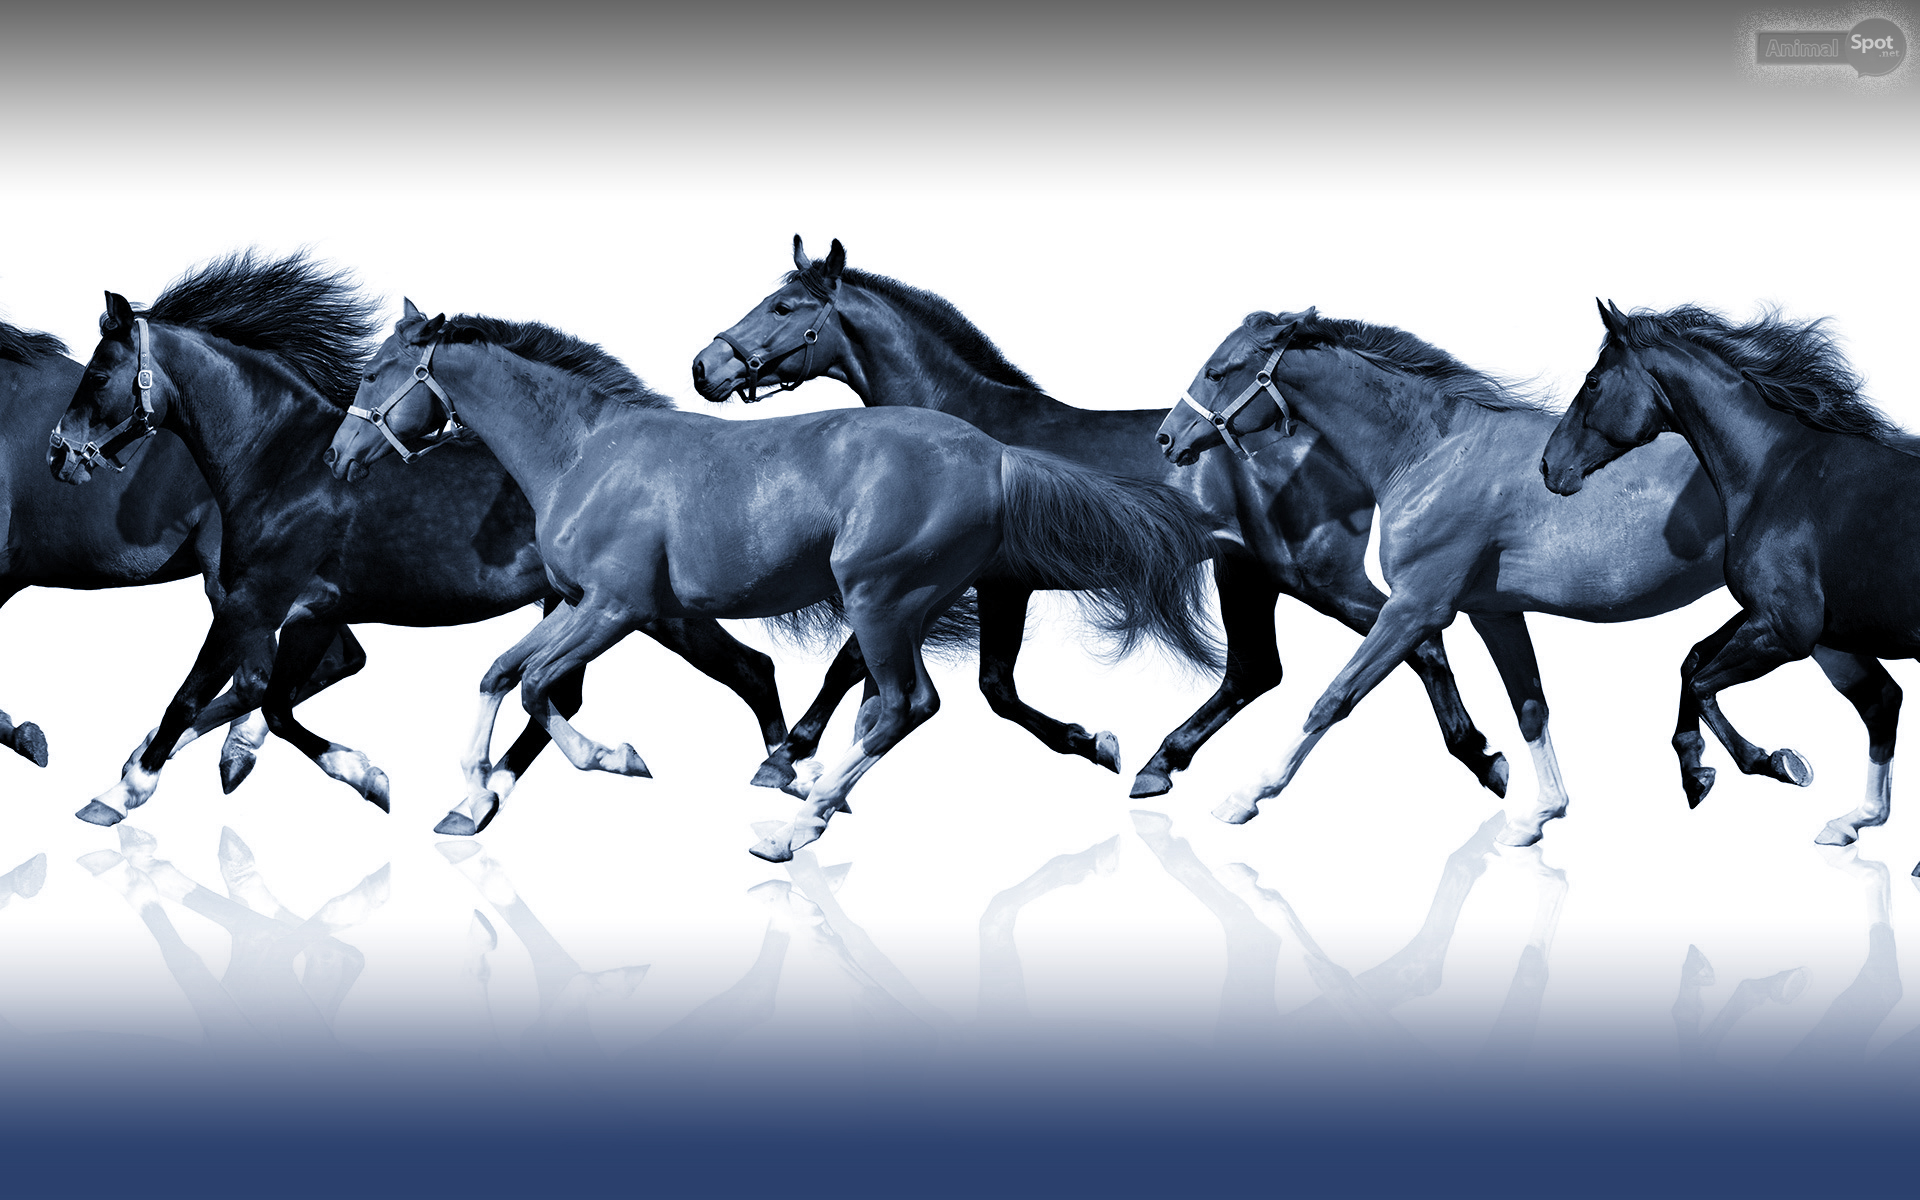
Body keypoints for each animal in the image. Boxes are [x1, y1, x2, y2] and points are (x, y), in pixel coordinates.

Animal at [49, 252, 789, 830]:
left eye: (97, 375)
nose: (58, 456)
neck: (281, 461)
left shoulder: (254, 603)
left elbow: (197, 695)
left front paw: (120, 791)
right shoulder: (310, 614)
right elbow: (271, 701)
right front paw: (364, 776)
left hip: (650, 611)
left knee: (750, 670)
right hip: (578, 606)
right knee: (569, 692)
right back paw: (477, 803)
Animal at [325, 302, 1219, 861]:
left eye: (375, 374)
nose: (338, 456)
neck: (585, 452)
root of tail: (994, 453)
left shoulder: (618, 608)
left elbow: (543, 689)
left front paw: (618, 758)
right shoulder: (580, 605)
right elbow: (498, 673)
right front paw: (470, 800)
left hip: (880, 598)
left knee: (908, 704)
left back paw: (793, 829)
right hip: (910, 603)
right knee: (895, 705)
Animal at [692, 236, 1508, 804]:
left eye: (785, 309)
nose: (706, 367)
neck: (964, 427)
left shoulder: (964, 585)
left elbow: (909, 674)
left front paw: (787, 756)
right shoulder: (979, 587)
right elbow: (962, 683)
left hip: (1312, 574)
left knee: (1416, 640)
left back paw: (1485, 759)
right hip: (1248, 572)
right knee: (1257, 669)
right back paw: (1160, 765)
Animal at [1155, 307, 1883, 847]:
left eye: (1218, 370)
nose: (1167, 439)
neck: (1430, 454)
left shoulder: (1415, 608)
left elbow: (1331, 698)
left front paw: (1242, 796)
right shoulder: (1493, 612)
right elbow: (1530, 705)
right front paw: (1538, 814)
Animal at [1543, 300, 1914, 852]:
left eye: (1592, 381)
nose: (1548, 466)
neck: (1779, 471)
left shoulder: (1785, 632)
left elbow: (1701, 683)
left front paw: (1777, 763)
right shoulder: (1785, 624)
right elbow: (1692, 661)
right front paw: (1695, 771)